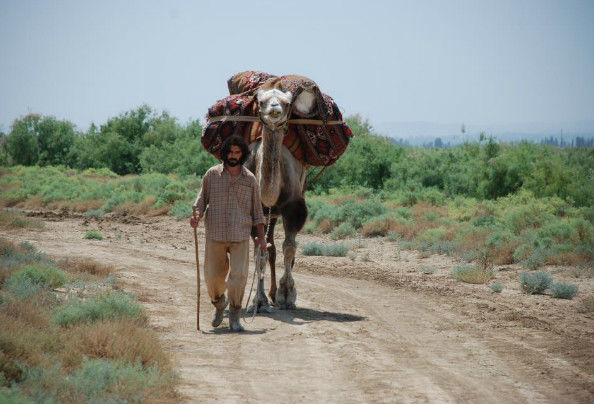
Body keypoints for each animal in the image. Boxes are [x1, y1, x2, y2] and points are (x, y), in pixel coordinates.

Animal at [245, 87, 310, 310]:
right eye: (260, 101)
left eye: (287, 103)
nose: (274, 108)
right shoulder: (254, 210)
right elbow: (260, 252)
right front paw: (259, 299)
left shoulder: (295, 207)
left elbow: (289, 247)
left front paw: (287, 294)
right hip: (269, 215)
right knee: (270, 246)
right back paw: (270, 294)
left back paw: (277, 293)